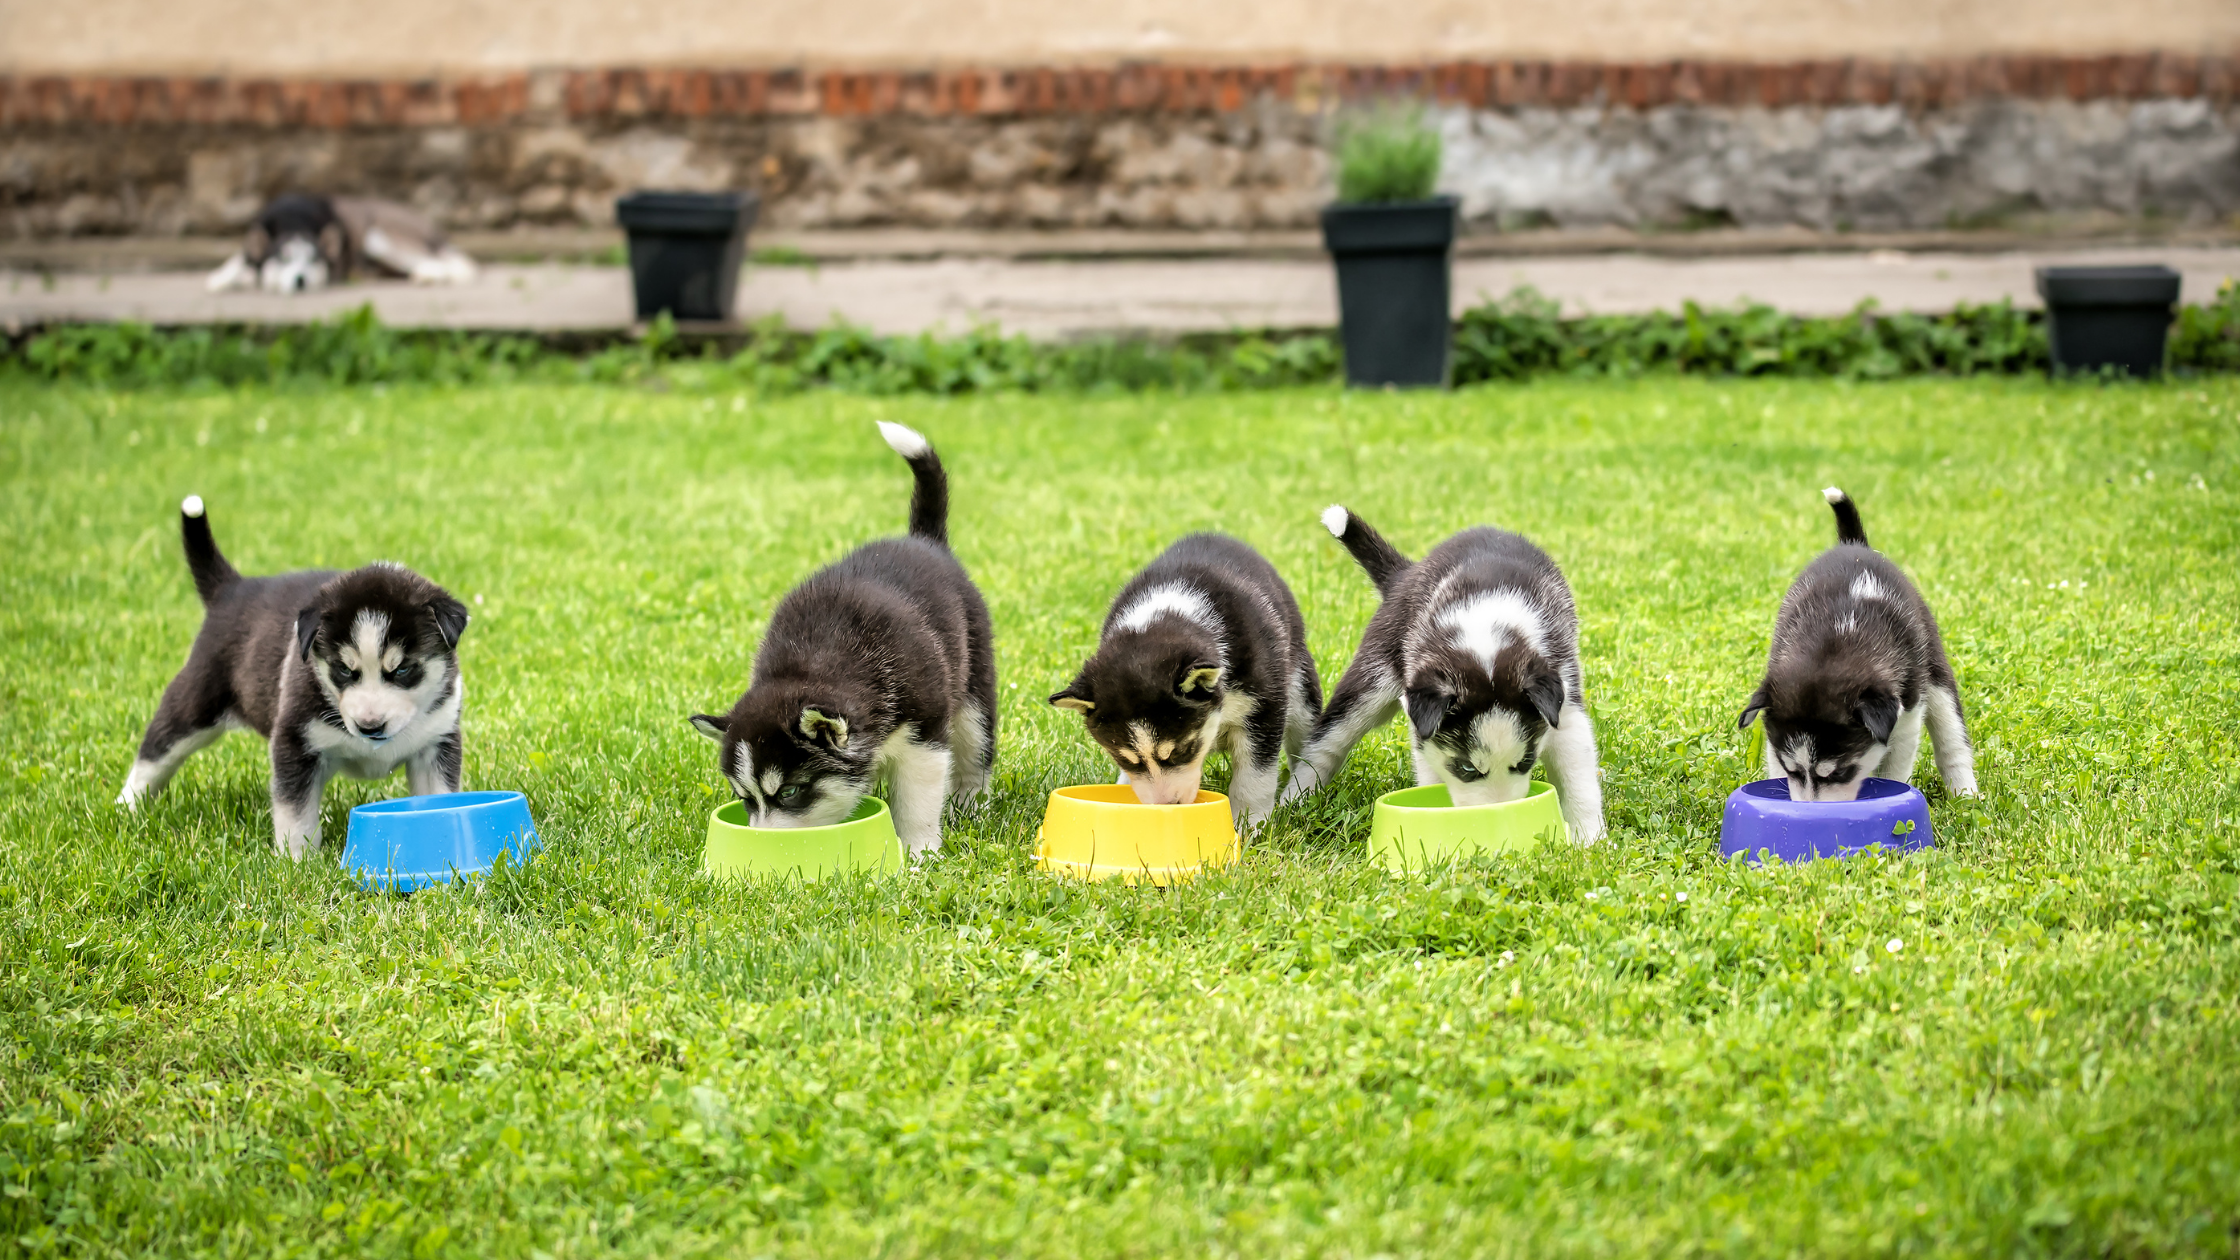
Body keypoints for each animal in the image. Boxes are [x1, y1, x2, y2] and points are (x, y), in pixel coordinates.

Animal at [118, 495, 472, 856]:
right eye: (344, 670)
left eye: (402, 669)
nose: (369, 727)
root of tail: (233, 588)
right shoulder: (294, 741)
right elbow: (295, 813)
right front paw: (298, 860)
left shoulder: (436, 741)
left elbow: (439, 798)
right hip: (195, 703)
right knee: (155, 752)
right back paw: (127, 806)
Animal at [685, 421, 994, 851]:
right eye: (744, 798)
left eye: (790, 792)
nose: (763, 842)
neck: (815, 662)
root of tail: (923, 540)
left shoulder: (924, 732)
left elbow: (917, 799)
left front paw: (919, 851)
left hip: (974, 690)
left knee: (975, 750)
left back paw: (970, 803)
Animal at [1272, 499, 1603, 834]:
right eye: (1466, 767)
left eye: (1525, 762)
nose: (1498, 815)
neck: (1485, 631)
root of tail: (1407, 573)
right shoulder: (1426, 733)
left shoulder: (1564, 703)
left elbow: (1580, 782)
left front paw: (1589, 837)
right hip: (1372, 678)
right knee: (1326, 744)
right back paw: (1294, 801)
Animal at [1729, 486, 1980, 798]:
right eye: (1793, 771)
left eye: (1840, 772)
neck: (1837, 636)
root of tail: (1854, 545)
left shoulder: (1907, 717)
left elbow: (1895, 769)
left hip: (1934, 672)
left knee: (1952, 740)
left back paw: (1966, 794)